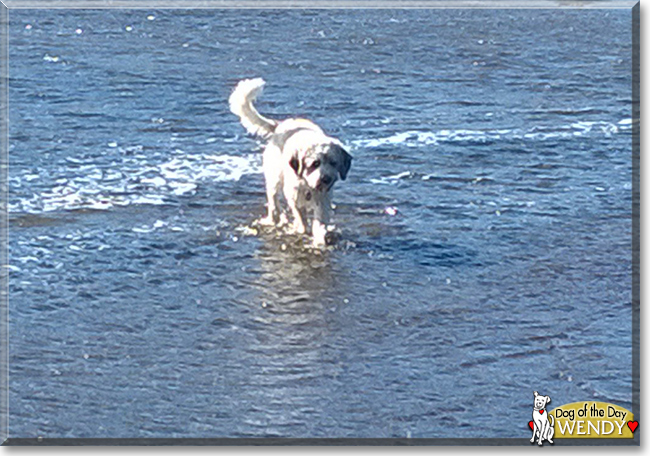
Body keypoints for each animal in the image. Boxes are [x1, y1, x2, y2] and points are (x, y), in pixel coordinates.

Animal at [229, 80, 352, 248]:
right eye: (315, 163)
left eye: (333, 163)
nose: (326, 179)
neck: (308, 186)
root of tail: (279, 125)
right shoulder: (294, 197)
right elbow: (301, 218)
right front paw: (301, 229)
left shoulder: (323, 200)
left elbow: (319, 223)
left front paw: (320, 238)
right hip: (274, 180)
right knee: (273, 204)